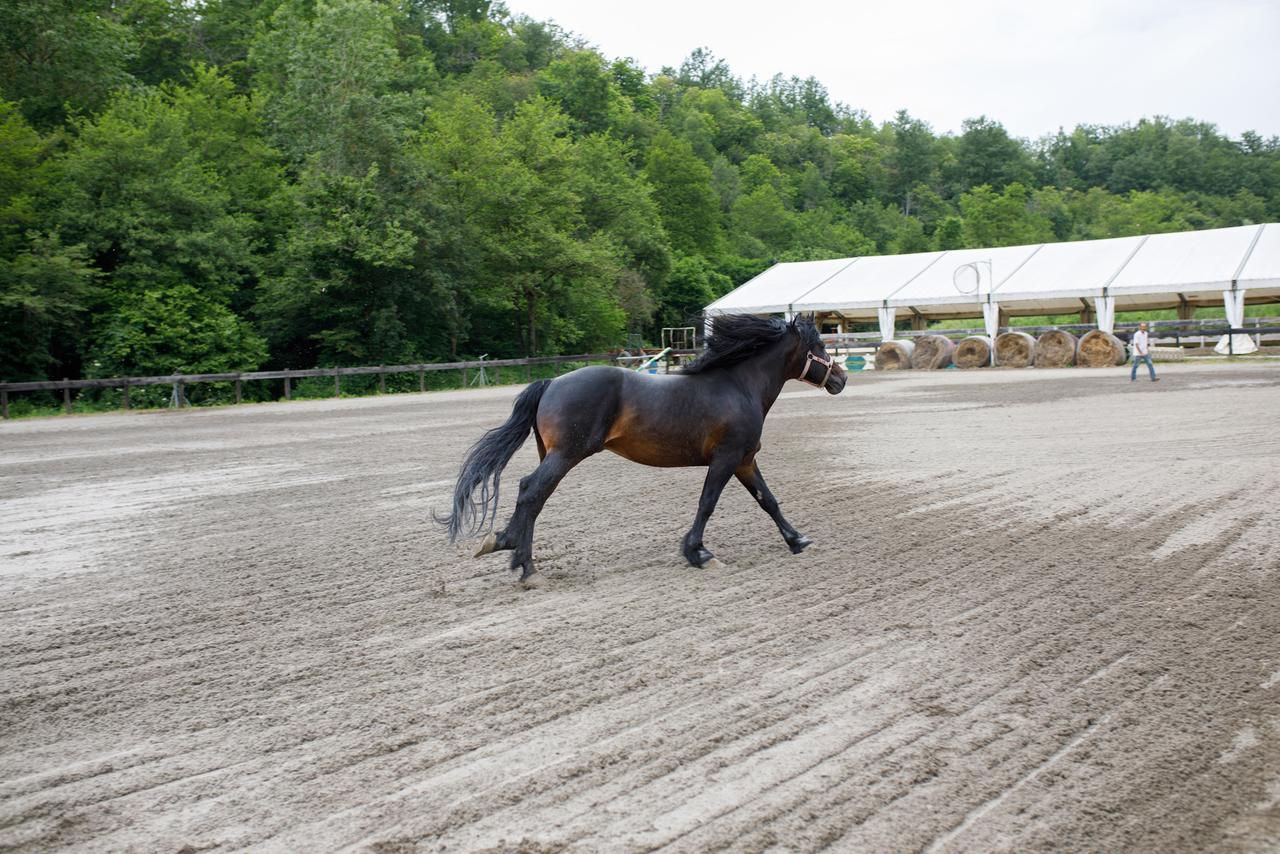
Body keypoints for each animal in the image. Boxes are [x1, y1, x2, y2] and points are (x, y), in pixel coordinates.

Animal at [435, 313, 844, 588]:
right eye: (819, 346)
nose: (840, 378)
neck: (738, 386)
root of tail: (551, 382)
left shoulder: (744, 460)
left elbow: (768, 500)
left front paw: (797, 539)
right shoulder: (726, 458)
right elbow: (707, 503)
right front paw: (698, 553)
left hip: (553, 454)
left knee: (532, 495)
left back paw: (512, 551)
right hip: (566, 454)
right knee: (532, 492)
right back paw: (523, 564)